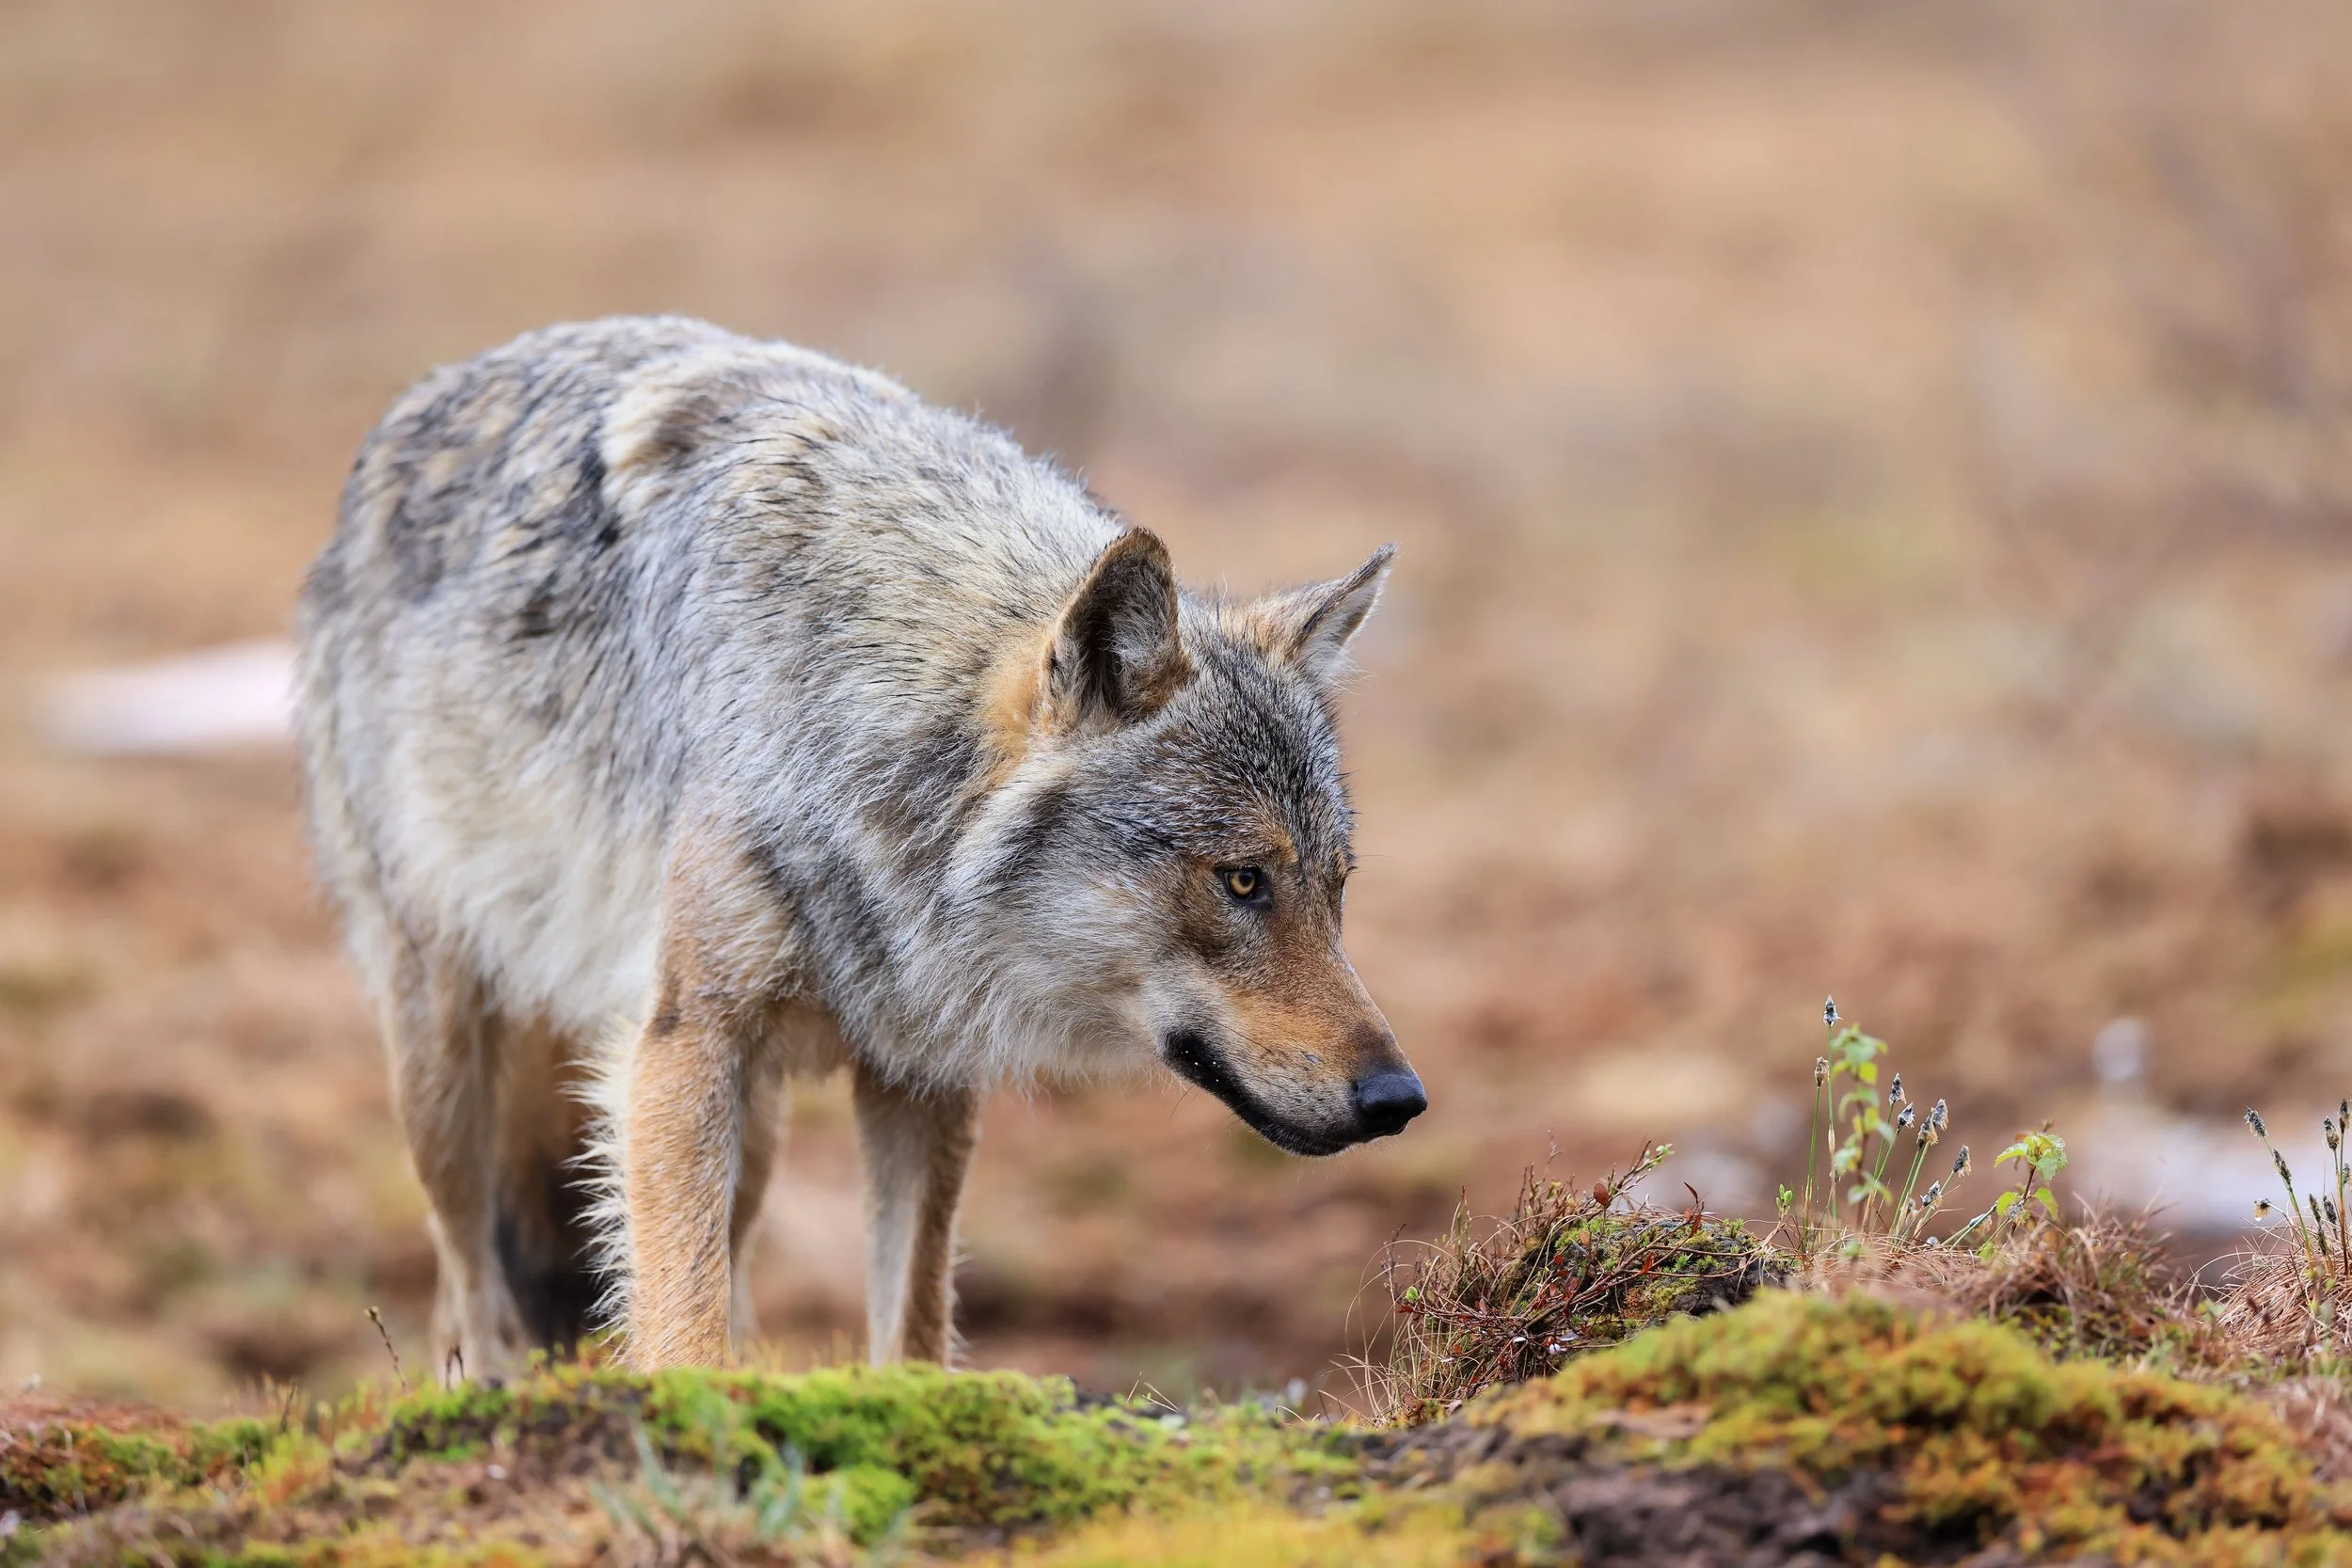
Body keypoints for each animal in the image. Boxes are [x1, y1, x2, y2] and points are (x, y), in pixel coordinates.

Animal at [294, 315, 1424, 1375]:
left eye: (1335, 889)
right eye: (1241, 880)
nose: (1400, 1099)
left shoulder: (921, 1073)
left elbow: (911, 1324)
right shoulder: (683, 1044)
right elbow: (679, 1326)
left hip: (751, 1132)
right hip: (449, 1074)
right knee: (468, 1294)